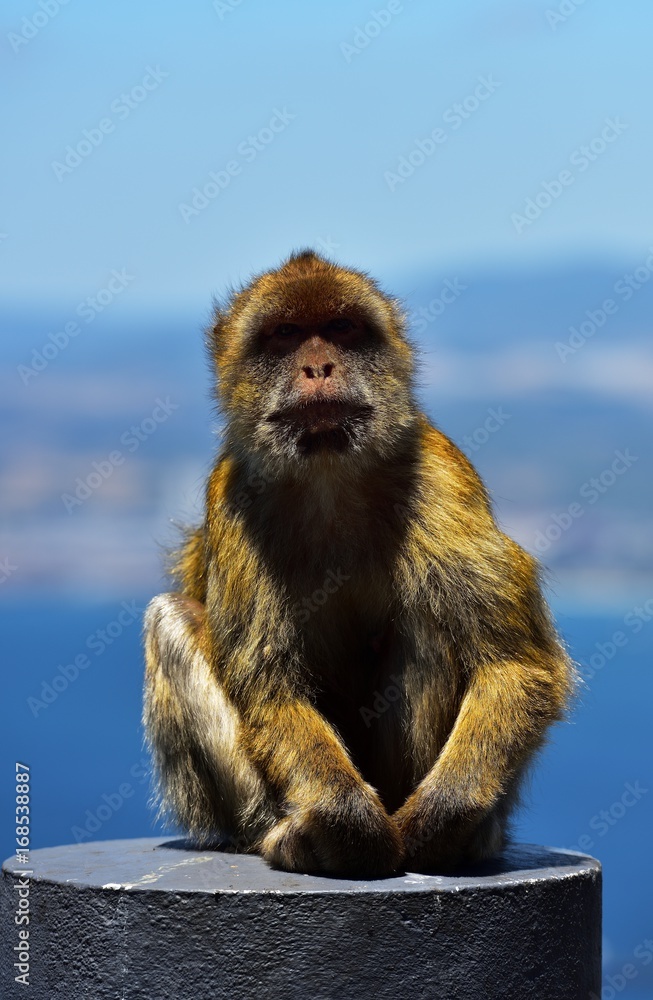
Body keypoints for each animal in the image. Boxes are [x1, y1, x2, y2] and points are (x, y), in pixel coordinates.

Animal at [143, 249, 574, 878]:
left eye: (342, 328)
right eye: (284, 334)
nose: (319, 367)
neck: (329, 475)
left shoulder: (439, 475)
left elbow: (518, 664)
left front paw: (440, 818)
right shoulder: (234, 496)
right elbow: (270, 691)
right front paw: (346, 823)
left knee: (432, 625)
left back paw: (463, 839)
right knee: (170, 618)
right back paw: (288, 834)